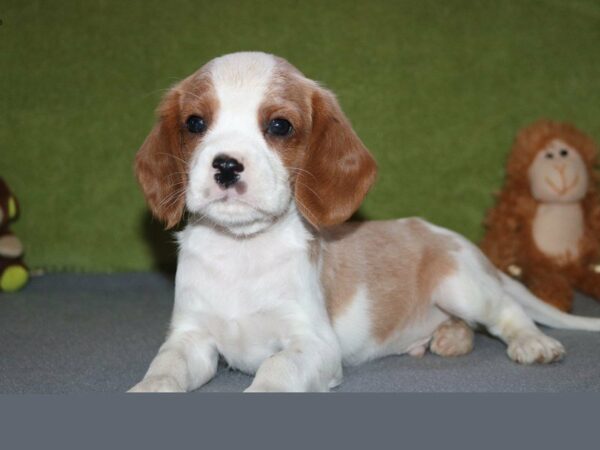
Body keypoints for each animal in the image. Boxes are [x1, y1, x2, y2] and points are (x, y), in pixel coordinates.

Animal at [130, 51, 600, 390]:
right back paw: (448, 337)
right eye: (195, 123)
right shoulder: (190, 338)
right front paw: (147, 390)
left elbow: (274, 371)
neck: (241, 251)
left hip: (463, 286)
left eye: (280, 126)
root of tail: (475, 253)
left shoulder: (314, 345)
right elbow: (163, 369)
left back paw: (533, 341)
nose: (226, 165)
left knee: (508, 312)